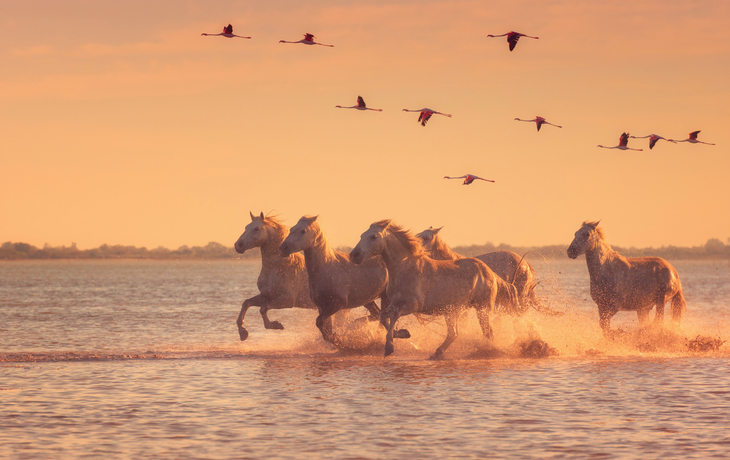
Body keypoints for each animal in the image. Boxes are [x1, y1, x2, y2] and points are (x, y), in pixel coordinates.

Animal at [278, 216, 390, 344]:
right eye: (292, 229)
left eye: (303, 231)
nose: (283, 248)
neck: (326, 269)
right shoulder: (322, 306)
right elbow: (325, 328)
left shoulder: (338, 303)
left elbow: (320, 323)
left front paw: (341, 341)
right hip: (368, 300)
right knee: (377, 314)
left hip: (385, 297)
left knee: (382, 318)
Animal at [350, 220, 498, 360]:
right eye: (362, 235)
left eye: (373, 236)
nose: (354, 255)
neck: (404, 268)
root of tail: (490, 272)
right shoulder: (394, 302)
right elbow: (382, 317)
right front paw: (403, 333)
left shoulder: (414, 305)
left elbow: (394, 316)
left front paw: (389, 347)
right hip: (452, 311)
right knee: (454, 333)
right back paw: (437, 353)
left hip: (482, 308)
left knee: (488, 333)